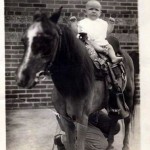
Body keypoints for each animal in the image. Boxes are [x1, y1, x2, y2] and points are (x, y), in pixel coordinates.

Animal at [16, 7, 135, 150]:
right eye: (24, 40)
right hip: (111, 102)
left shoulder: (81, 120)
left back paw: (125, 145)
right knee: (114, 118)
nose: (23, 77)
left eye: (49, 38)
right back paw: (110, 144)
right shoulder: (66, 120)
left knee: (127, 119)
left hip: (128, 95)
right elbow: (70, 143)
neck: (71, 85)